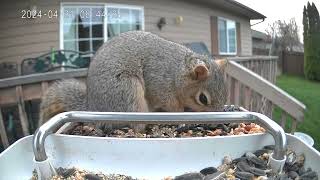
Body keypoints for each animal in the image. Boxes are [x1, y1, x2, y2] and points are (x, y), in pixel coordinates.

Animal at [38, 31, 229, 129]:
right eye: (203, 98)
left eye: (226, 95)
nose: (219, 120)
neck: (177, 72)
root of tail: (92, 107)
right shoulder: (159, 83)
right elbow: (171, 105)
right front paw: (181, 116)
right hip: (127, 91)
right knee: (136, 124)